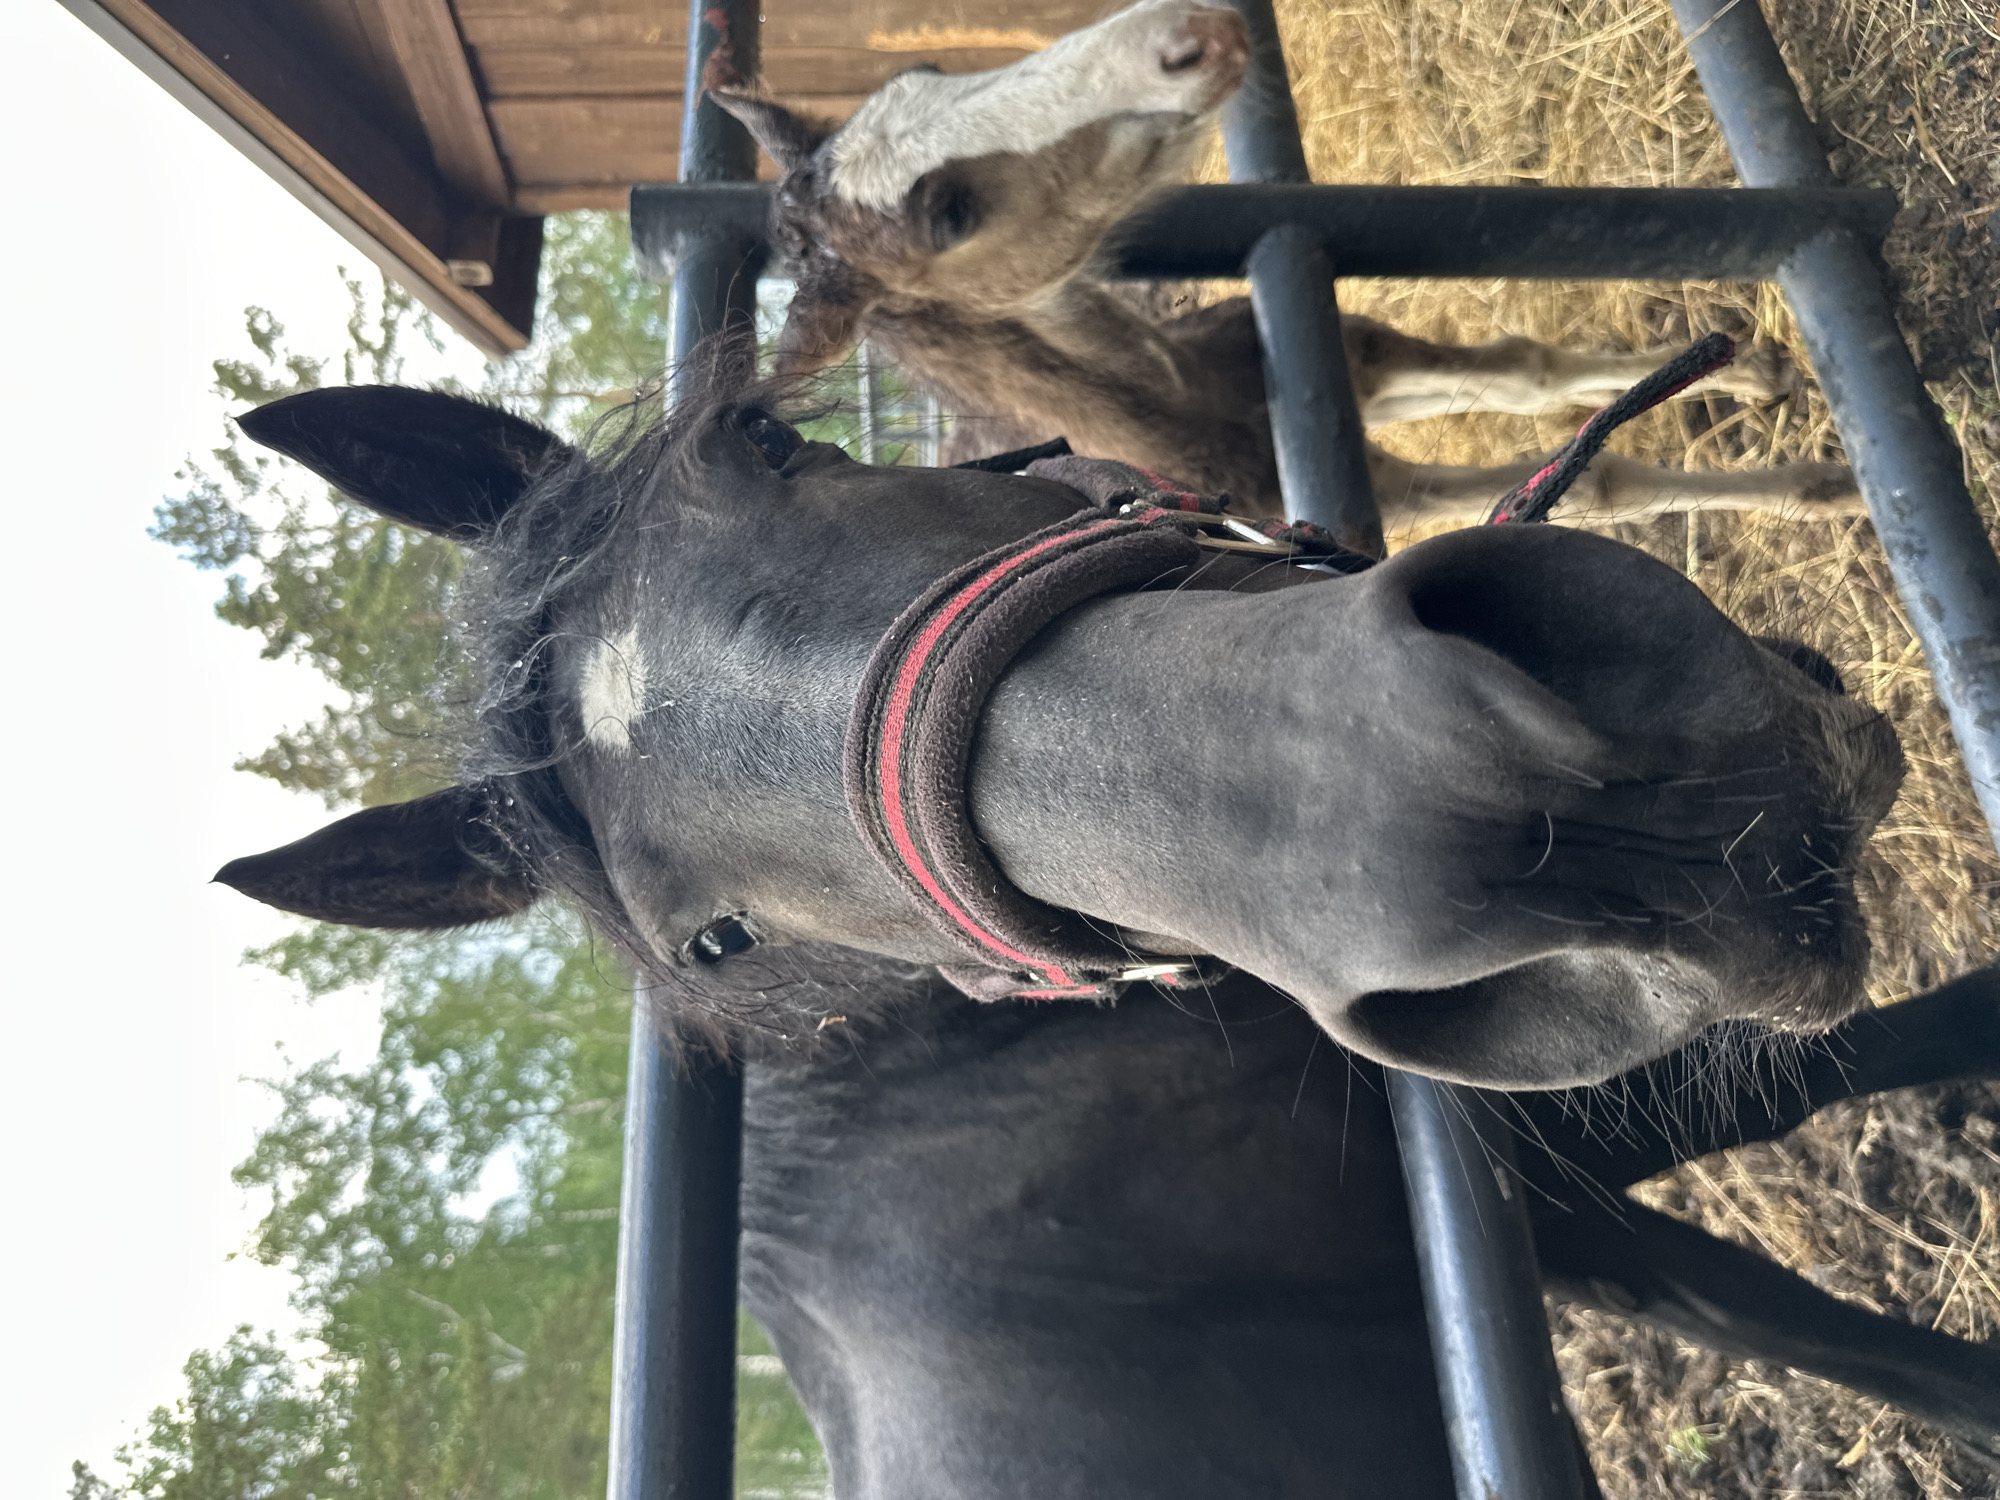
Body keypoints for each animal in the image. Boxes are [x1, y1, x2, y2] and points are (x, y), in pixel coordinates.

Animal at [711, 0, 1863, 553]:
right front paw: (1839, 488)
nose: (1179, 34)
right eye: (951, 214)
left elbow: (1522, 367)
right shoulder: (1383, 486)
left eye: (925, 71)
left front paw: (1755, 371)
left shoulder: (1350, 353)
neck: (1180, 403)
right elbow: (1598, 478)